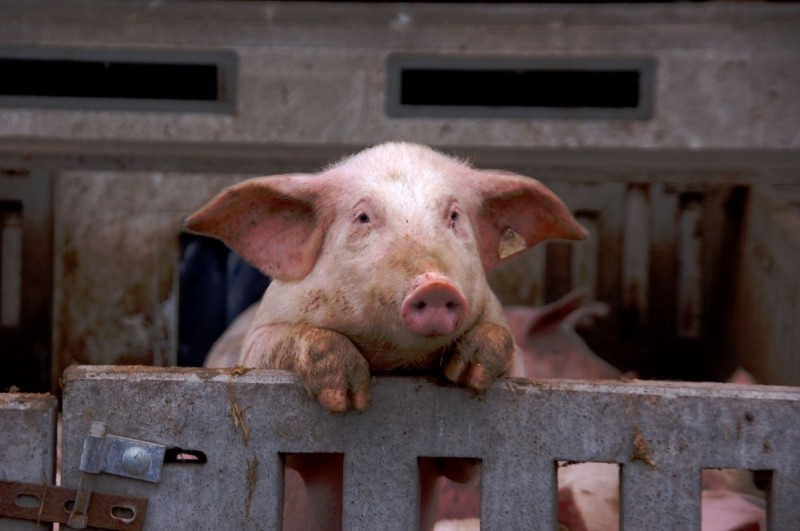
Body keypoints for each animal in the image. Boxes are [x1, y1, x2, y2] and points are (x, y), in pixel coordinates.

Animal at [188, 143, 588, 414]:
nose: (435, 285)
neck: (398, 362)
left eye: (454, 215)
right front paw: (347, 399)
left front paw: (467, 376)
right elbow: (299, 339)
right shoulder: (258, 343)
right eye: (363, 217)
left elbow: (501, 339)